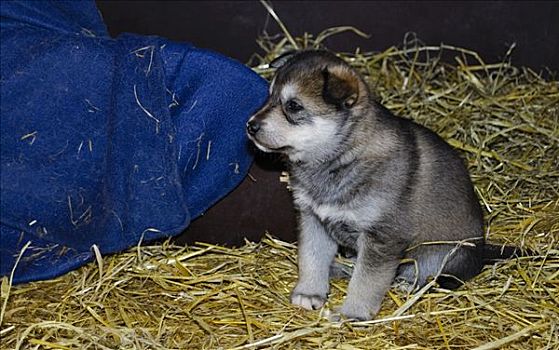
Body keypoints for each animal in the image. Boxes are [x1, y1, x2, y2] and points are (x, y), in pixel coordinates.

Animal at [245, 50, 504, 322]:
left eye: (294, 106)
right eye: (270, 96)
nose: (250, 125)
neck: (341, 157)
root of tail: (483, 251)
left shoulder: (381, 238)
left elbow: (366, 281)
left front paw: (352, 314)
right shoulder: (313, 219)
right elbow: (311, 257)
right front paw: (309, 292)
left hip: (441, 255)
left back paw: (406, 284)